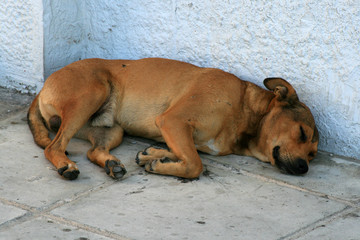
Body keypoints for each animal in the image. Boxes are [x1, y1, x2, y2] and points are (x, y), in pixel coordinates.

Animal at [29, 58, 320, 179]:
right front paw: (161, 164)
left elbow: (185, 154)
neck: (245, 111)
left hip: (112, 129)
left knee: (93, 151)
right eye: (302, 132)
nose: (304, 168)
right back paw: (66, 165)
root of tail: (43, 86)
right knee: (54, 146)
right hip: (90, 95)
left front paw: (156, 155)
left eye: (313, 155)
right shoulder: (173, 122)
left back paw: (111, 164)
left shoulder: (180, 133)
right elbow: (195, 165)